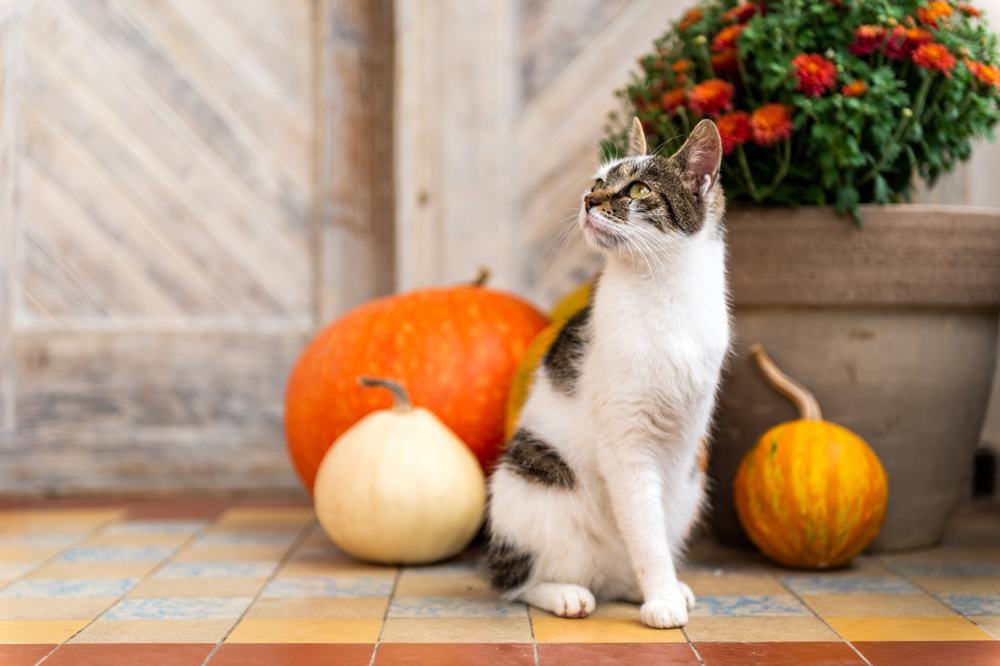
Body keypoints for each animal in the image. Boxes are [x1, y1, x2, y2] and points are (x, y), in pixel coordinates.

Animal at [482, 118, 728, 628]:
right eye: (598, 181)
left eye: (638, 188)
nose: (588, 200)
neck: (663, 294)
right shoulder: (625, 440)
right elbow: (644, 526)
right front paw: (662, 598)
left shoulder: (682, 442)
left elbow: (654, 527)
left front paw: (663, 588)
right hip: (532, 485)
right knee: (517, 582)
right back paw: (565, 594)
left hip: (691, 486)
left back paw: (633, 586)